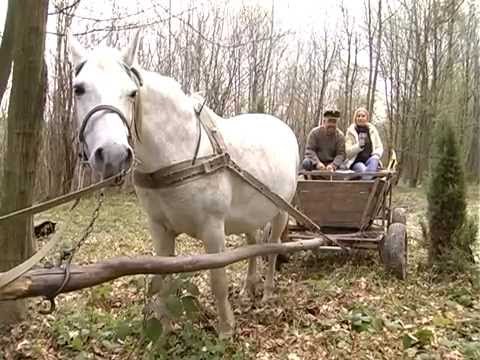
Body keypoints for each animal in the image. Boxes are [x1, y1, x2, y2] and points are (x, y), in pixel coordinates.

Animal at [69, 33, 298, 338]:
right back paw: (248, 288)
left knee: (272, 248)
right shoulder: (160, 229)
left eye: (132, 93)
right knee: (254, 243)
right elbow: (163, 279)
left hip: (281, 210)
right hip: (250, 215)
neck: (179, 152)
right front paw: (165, 329)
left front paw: (226, 330)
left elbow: (218, 280)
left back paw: (269, 292)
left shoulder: (213, 230)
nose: (113, 154)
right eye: (79, 89)